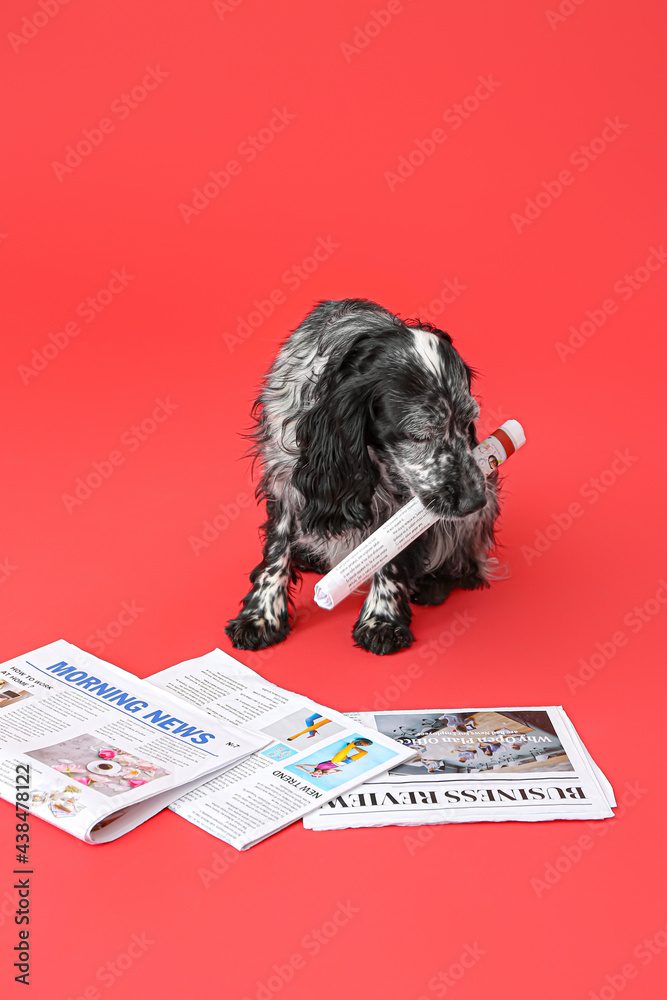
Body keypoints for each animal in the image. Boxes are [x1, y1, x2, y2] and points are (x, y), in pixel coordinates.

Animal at [227, 296, 498, 656]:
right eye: (419, 435)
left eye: (469, 422)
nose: (473, 502)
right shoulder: (284, 474)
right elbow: (276, 548)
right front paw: (261, 616)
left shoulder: (408, 496)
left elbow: (394, 554)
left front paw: (381, 619)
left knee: (467, 565)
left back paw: (434, 583)